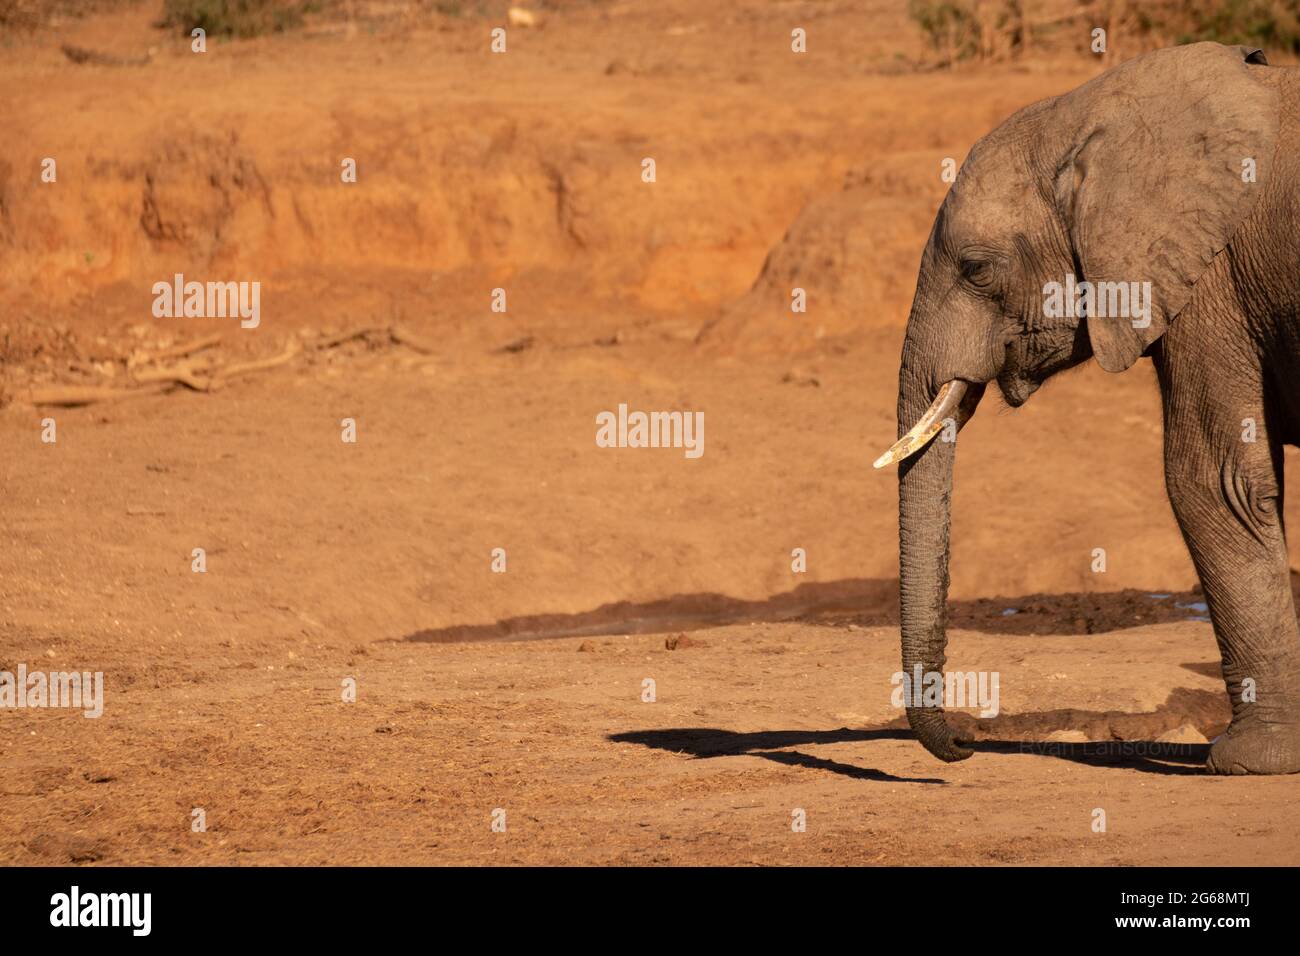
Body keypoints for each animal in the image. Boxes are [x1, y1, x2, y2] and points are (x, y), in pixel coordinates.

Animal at [873, 42, 1300, 780]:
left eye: (976, 270)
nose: (965, 742)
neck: (1089, 113)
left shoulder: (1210, 281)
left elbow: (1210, 482)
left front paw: (1249, 761)